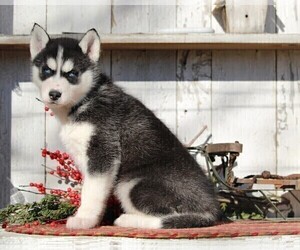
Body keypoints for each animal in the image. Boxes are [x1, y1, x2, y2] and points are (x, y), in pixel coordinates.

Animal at [29, 24, 220, 229]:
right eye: (46, 70)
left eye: (72, 74)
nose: (54, 94)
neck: (84, 101)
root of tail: (212, 209)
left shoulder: (103, 152)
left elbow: (91, 192)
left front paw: (84, 219)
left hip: (132, 184)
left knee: (170, 218)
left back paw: (128, 219)